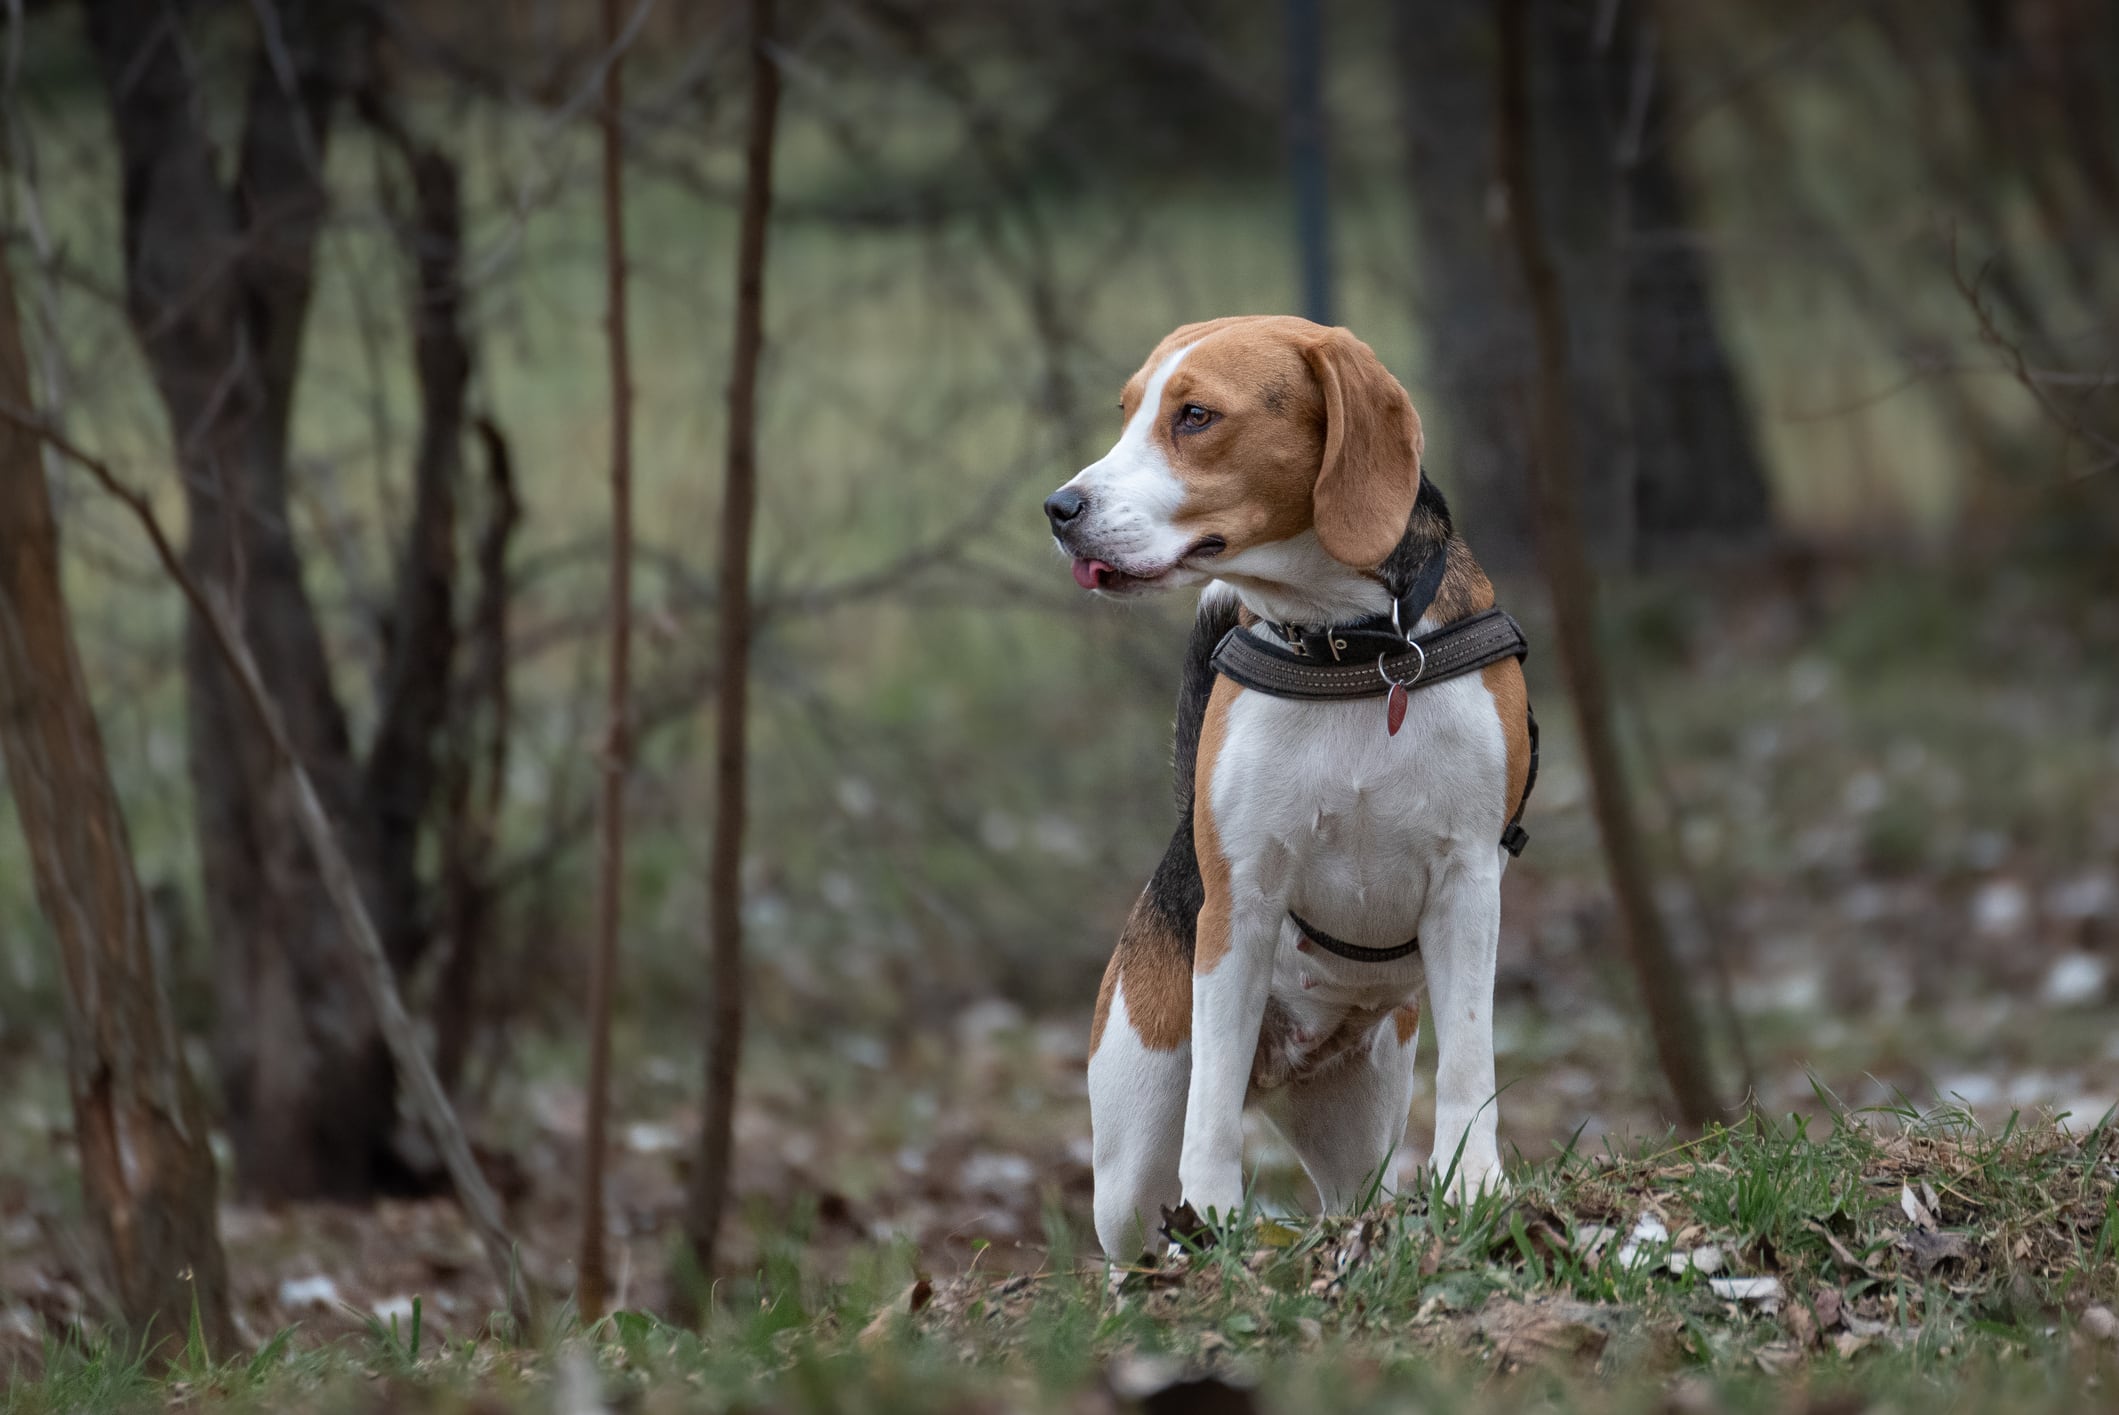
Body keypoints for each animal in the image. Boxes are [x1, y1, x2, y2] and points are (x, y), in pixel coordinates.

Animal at [1038, 315, 1525, 1254]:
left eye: (1194, 415)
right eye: (1126, 411)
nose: (1059, 509)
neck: (1350, 646)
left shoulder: (1468, 882)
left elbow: (1470, 1059)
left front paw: (1475, 1183)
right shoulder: (1241, 902)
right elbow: (1211, 1109)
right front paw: (1212, 1210)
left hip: (1360, 1118)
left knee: (1349, 1193)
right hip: (1129, 1140)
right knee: (1134, 1230)